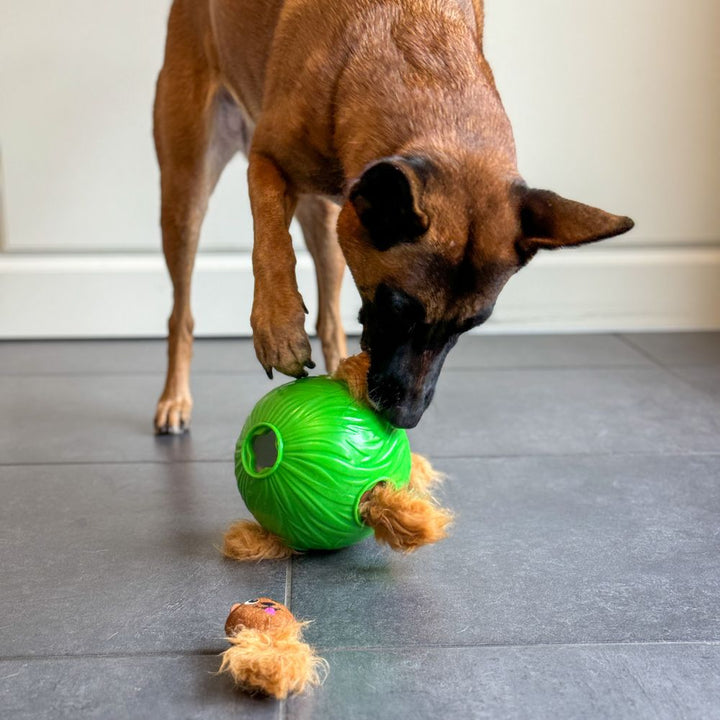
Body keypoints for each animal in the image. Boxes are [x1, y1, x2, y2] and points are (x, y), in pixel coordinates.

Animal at [152, 0, 632, 434]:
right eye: (397, 308)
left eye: (471, 325)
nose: (405, 419)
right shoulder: (268, 161)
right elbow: (270, 246)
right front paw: (279, 328)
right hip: (185, 195)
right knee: (181, 314)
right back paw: (175, 398)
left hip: (326, 227)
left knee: (329, 319)